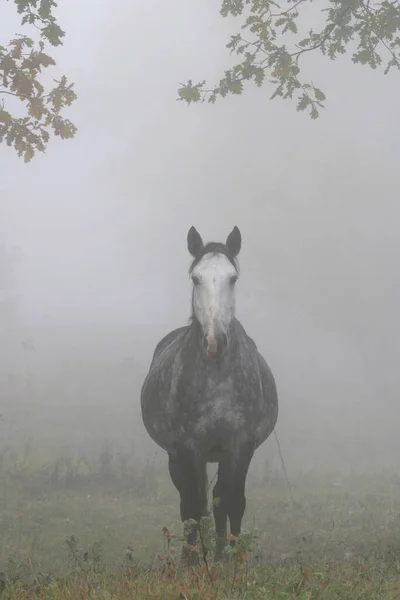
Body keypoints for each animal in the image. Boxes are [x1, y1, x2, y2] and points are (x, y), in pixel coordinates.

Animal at [141, 226, 278, 564]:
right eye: (195, 278)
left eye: (233, 278)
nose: (215, 342)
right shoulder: (186, 448)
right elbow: (192, 505)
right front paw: (192, 561)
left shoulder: (241, 446)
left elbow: (232, 502)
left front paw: (233, 559)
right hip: (180, 457)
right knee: (193, 502)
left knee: (217, 501)